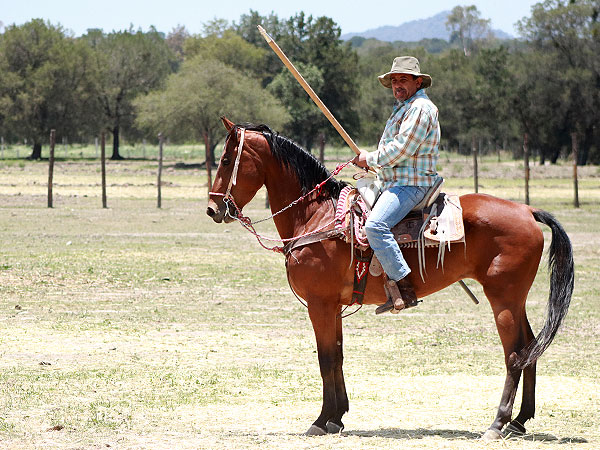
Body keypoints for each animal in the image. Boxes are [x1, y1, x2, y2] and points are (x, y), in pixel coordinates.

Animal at [205, 118, 572, 442]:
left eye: (225, 159)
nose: (212, 209)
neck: (316, 216)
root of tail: (527, 211)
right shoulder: (333, 307)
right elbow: (337, 356)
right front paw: (337, 417)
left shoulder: (319, 305)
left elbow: (325, 359)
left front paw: (321, 420)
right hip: (515, 299)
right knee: (530, 347)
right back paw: (520, 421)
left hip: (503, 299)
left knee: (515, 354)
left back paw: (497, 423)